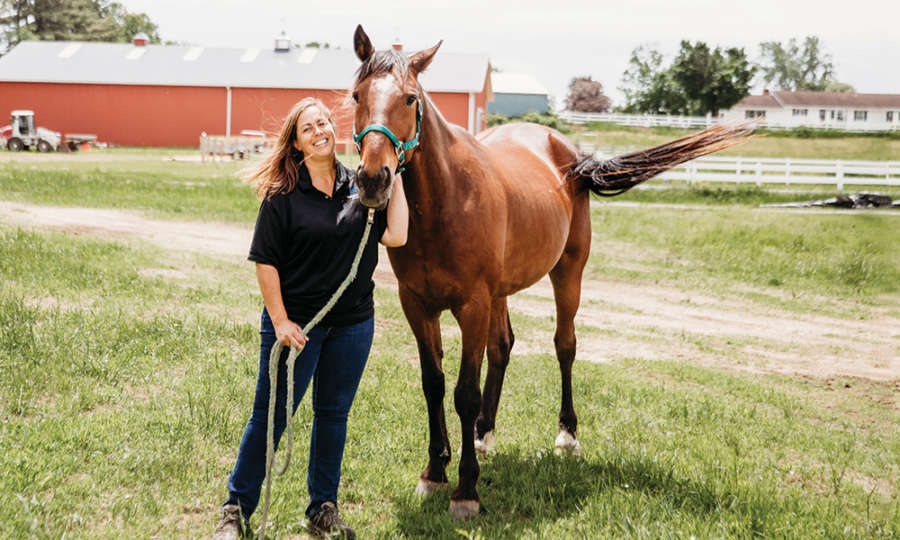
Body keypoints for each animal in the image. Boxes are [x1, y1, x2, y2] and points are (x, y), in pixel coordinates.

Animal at [352, 26, 752, 520]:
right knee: (503, 347)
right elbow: (434, 385)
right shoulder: (417, 304)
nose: (373, 179)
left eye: (409, 99)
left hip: (567, 273)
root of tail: (568, 153)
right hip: (501, 291)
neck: (446, 199)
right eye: (356, 95)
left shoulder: (472, 305)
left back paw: (566, 436)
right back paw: (483, 435)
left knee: (565, 345)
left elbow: (464, 392)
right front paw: (434, 472)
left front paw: (466, 490)